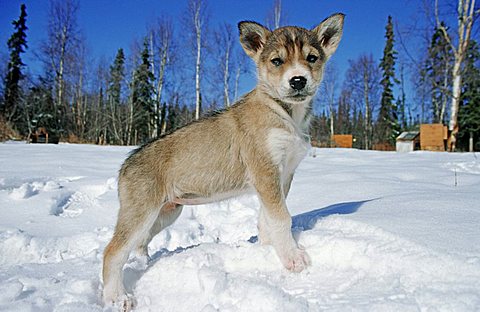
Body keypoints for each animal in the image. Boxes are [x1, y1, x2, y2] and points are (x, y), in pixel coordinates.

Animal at [103, 14, 344, 310]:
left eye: (312, 58)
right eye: (277, 61)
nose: (298, 80)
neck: (285, 113)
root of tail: (125, 165)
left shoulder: (281, 178)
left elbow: (267, 220)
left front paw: (267, 250)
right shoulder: (265, 172)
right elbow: (281, 218)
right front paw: (293, 258)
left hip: (165, 213)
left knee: (139, 243)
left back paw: (142, 266)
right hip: (141, 213)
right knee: (112, 251)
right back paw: (117, 297)